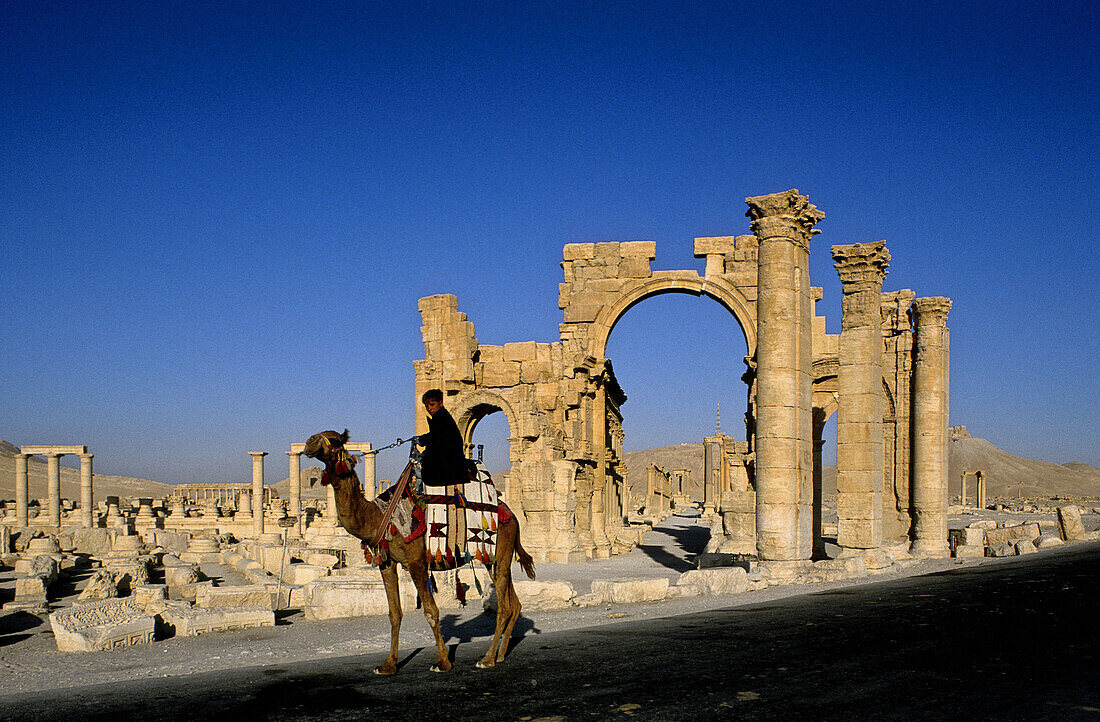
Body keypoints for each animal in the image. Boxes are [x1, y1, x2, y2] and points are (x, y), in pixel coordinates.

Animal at [305, 424, 536, 673]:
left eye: (336, 440)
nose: (309, 442)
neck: (377, 516)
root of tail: (512, 516)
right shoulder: (387, 563)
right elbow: (394, 613)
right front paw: (388, 665)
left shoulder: (416, 562)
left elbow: (431, 611)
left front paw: (442, 662)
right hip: (494, 558)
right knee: (514, 603)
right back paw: (501, 655)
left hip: (498, 553)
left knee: (503, 607)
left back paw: (488, 659)